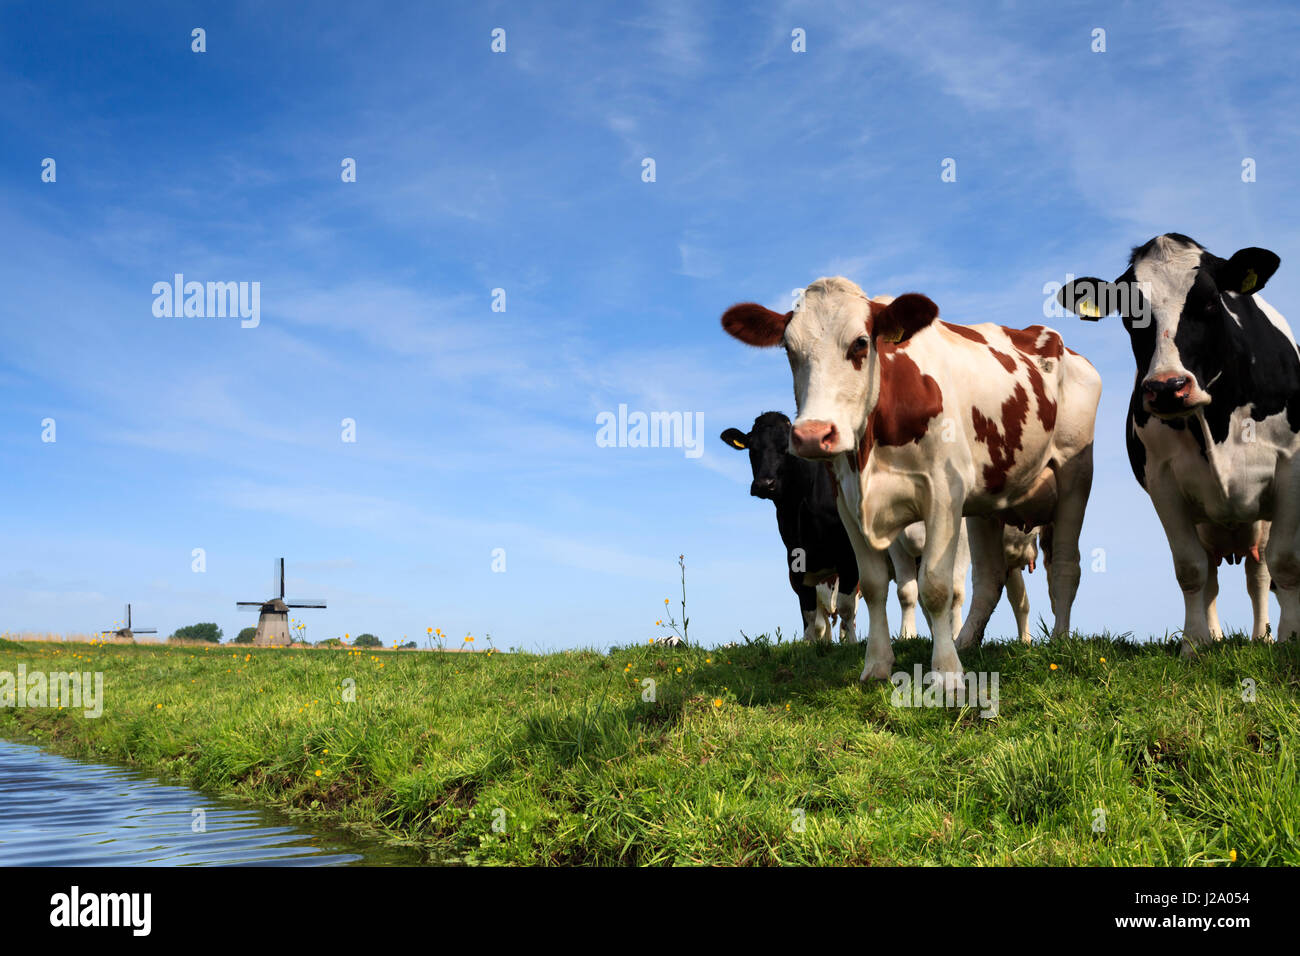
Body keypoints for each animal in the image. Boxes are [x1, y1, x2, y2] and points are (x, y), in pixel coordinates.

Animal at [722, 277, 1097, 686]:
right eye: (789, 349)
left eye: (860, 342)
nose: (812, 435)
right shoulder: (849, 506)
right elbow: (871, 587)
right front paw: (877, 665)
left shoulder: (945, 494)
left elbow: (935, 587)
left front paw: (947, 675)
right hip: (988, 501)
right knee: (989, 578)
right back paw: (967, 642)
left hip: (1074, 473)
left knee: (1065, 567)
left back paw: (1058, 641)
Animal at [1060, 234, 1294, 655]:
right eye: (1128, 314)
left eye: (1210, 301)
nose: (1168, 387)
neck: (1216, 424)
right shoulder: (1164, 482)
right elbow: (1190, 569)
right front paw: (1194, 644)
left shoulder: (1289, 466)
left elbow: (1282, 561)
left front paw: (1289, 640)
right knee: (1213, 575)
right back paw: (1216, 636)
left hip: (1258, 521)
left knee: (1259, 573)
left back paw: (1263, 636)